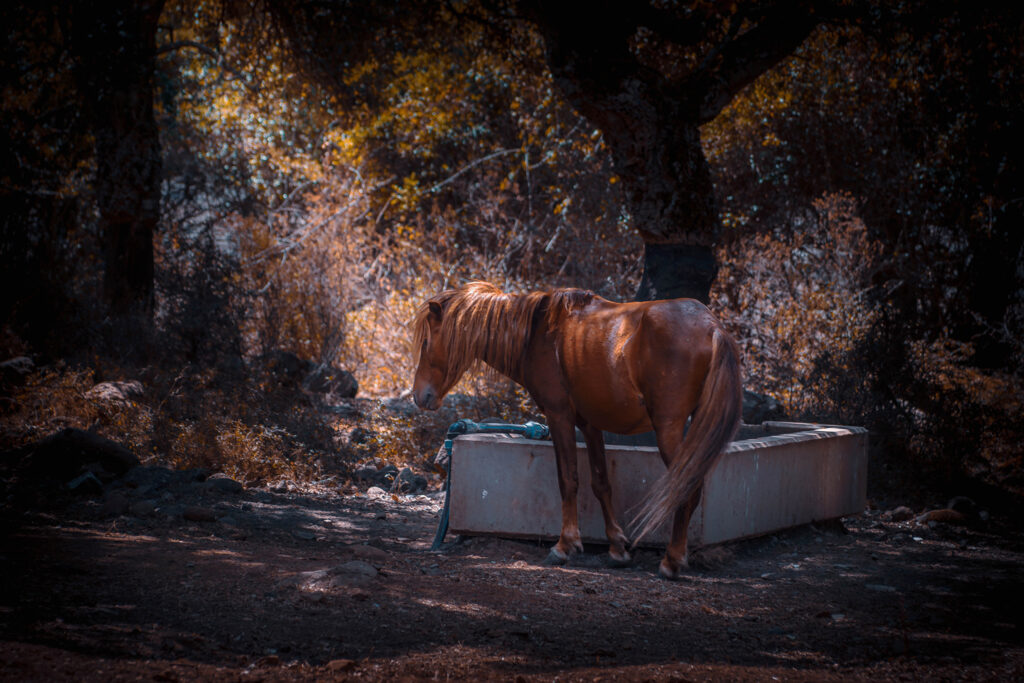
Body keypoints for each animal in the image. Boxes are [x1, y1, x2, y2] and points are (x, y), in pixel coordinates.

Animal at [411, 281, 742, 579]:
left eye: (426, 343)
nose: (420, 396)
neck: (537, 334)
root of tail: (711, 326)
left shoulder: (560, 416)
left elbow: (568, 479)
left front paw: (565, 545)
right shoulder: (589, 423)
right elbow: (601, 483)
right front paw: (617, 548)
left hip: (669, 430)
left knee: (685, 488)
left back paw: (672, 561)